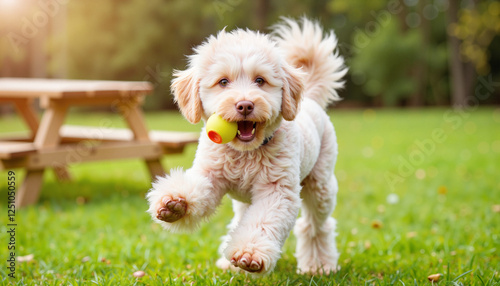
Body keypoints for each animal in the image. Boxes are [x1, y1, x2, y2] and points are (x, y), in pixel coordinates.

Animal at [146, 17, 346, 274]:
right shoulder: (210, 176)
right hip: (245, 200)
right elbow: (197, 188)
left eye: (260, 80)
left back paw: (318, 265)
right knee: (241, 219)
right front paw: (175, 204)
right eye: (223, 81)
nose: (245, 105)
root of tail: (310, 98)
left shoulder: (277, 190)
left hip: (320, 185)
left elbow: (263, 221)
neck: (245, 154)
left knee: (316, 227)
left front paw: (250, 253)